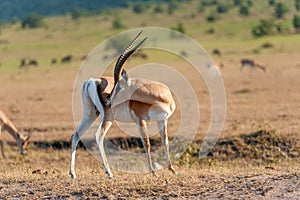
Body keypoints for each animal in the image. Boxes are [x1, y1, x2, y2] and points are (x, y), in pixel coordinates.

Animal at [70, 31, 177, 180]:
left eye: (119, 86)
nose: (108, 100)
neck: (161, 98)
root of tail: (92, 81)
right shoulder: (140, 120)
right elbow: (147, 143)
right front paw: (153, 172)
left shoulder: (162, 120)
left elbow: (165, 141)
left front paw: (172, 169)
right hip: (107, 117)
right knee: (98, 135)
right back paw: (110, 173)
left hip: (90, 114)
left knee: (76, 134)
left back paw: (73, 174)